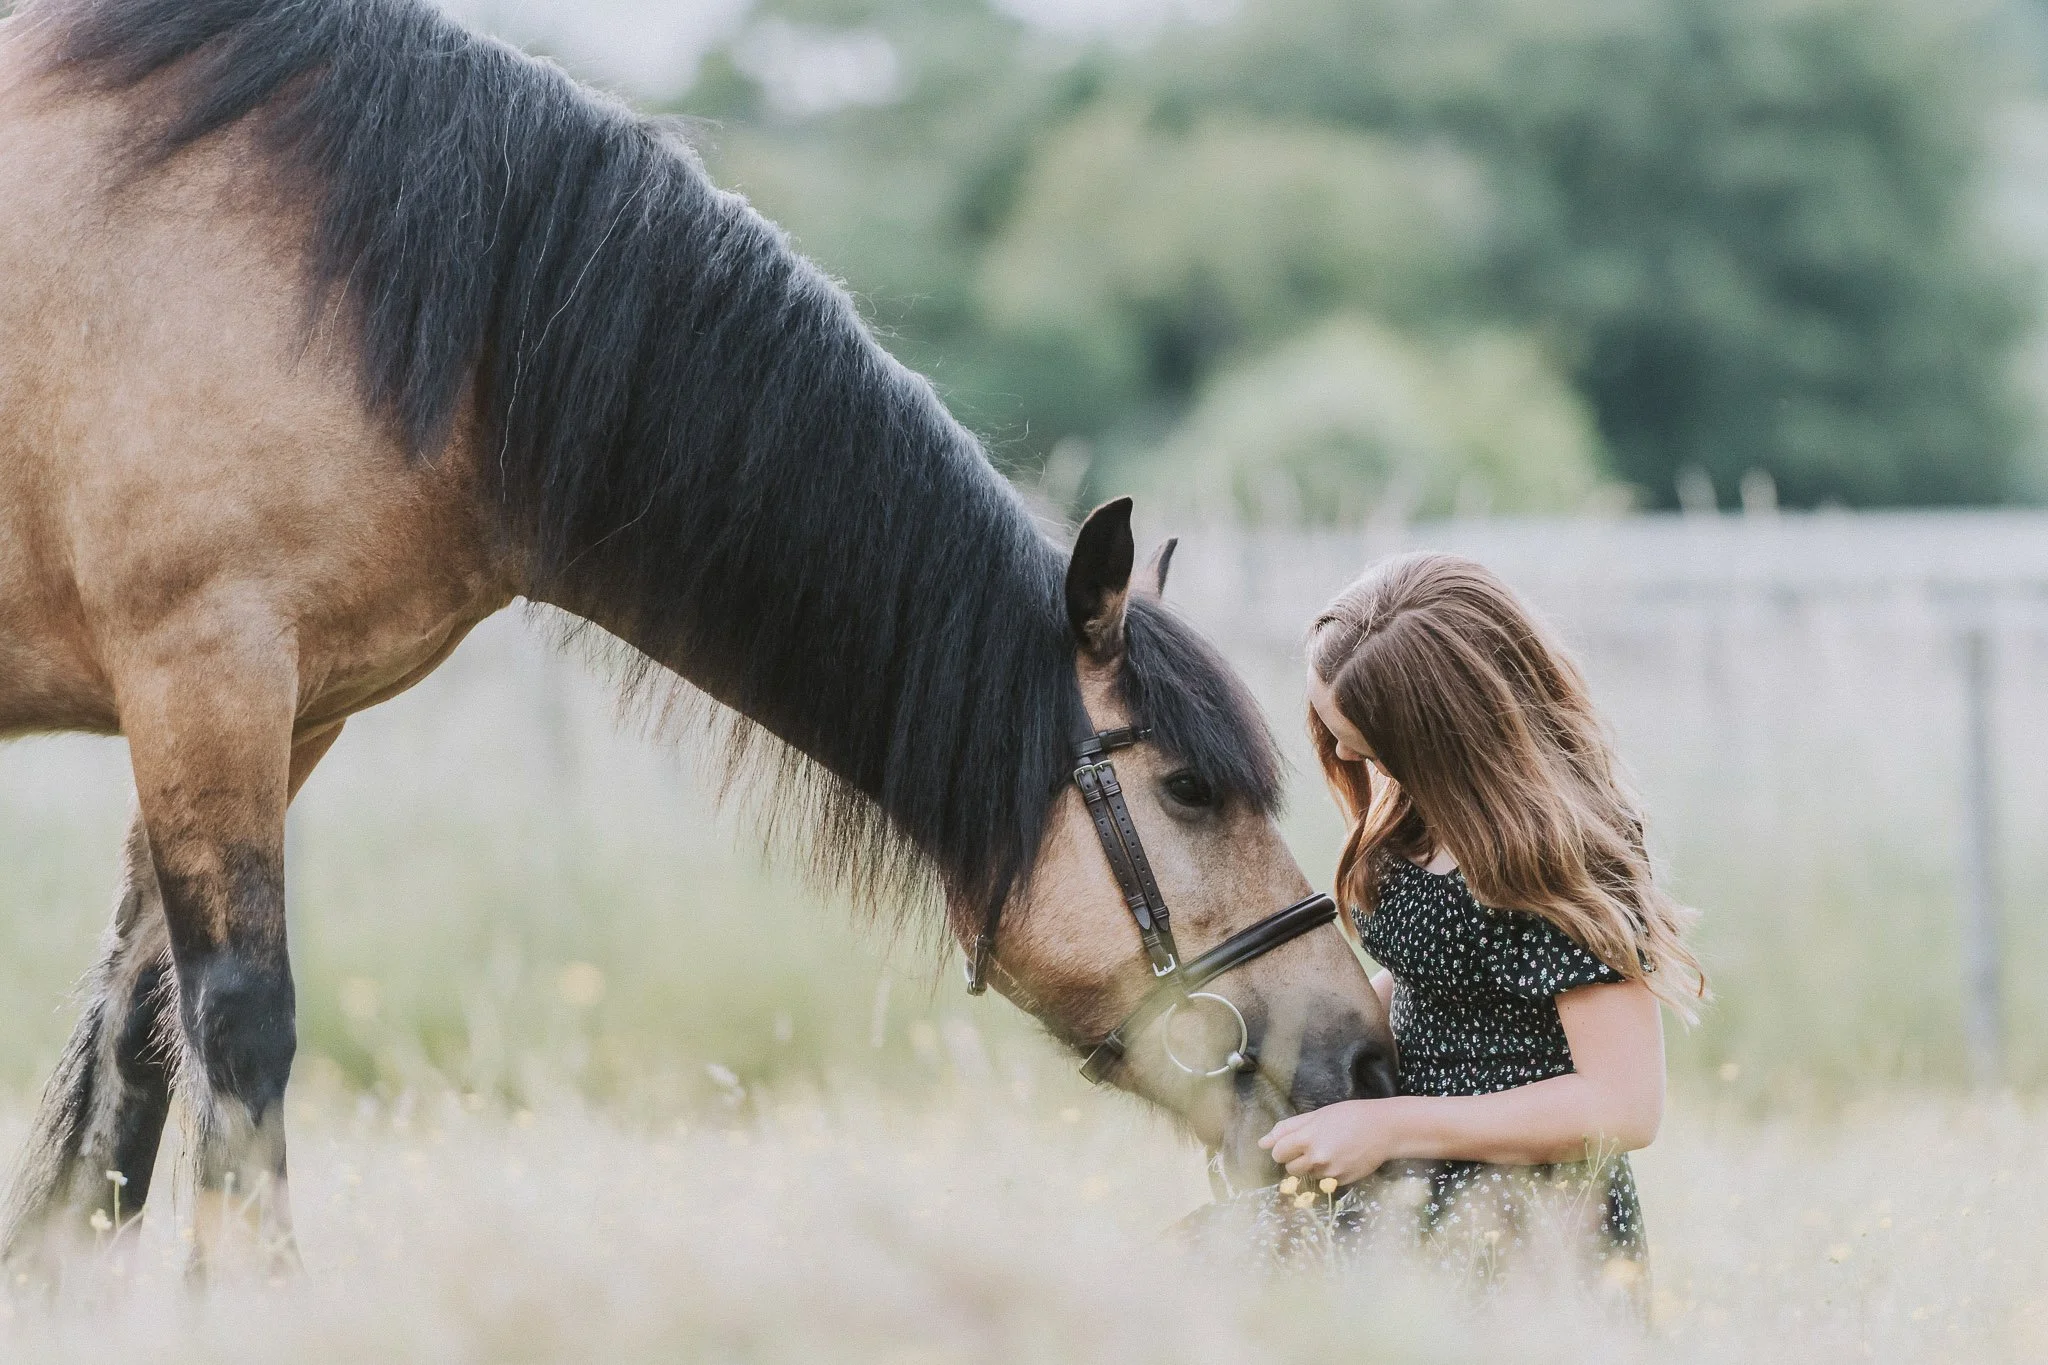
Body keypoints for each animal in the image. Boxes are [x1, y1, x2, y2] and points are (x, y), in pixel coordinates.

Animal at [0, 0, 1394, 1275]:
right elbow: (240, 1023)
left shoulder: (293, 711)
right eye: (1189, 789)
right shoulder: (205, 672)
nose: (1362, 1048)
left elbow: (132, 1043)